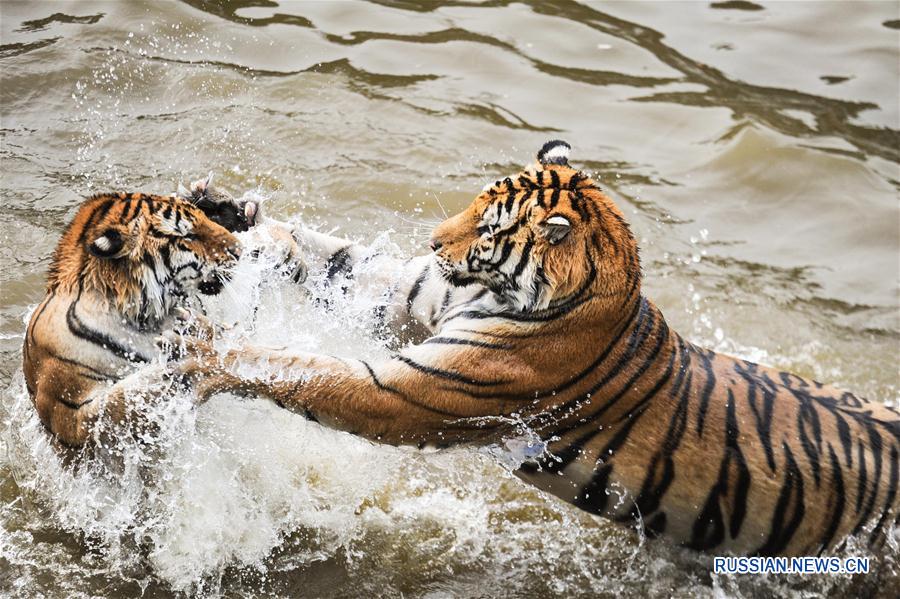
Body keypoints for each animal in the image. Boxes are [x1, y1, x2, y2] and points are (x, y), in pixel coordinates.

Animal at [23, 190, 243, 448]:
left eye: (205, 219)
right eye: (188, 235)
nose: (240, 251)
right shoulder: (67, 415)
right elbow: (118, 401)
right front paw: (176, 366)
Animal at [174, 141, 900, 556]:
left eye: (488, 227)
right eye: (473, 203)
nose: (433, 241)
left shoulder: (414, 391)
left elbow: (304, 368)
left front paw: (204, 361)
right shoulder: (408, 299)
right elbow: (331, 258)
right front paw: (231, 215)